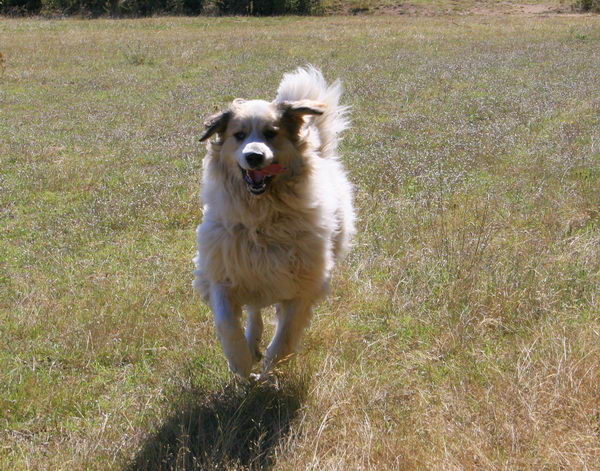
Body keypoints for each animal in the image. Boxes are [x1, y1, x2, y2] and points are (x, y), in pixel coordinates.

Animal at [192, 66, 354, 380]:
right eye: (239, 135)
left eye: (271, 134)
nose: (254, 156)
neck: (261, 217)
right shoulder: (222, 272)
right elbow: (227, 324)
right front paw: (241, 365)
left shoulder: (303, 285)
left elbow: (285, 336)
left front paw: (269, 370)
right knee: (254, 310)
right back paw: (252, 342)